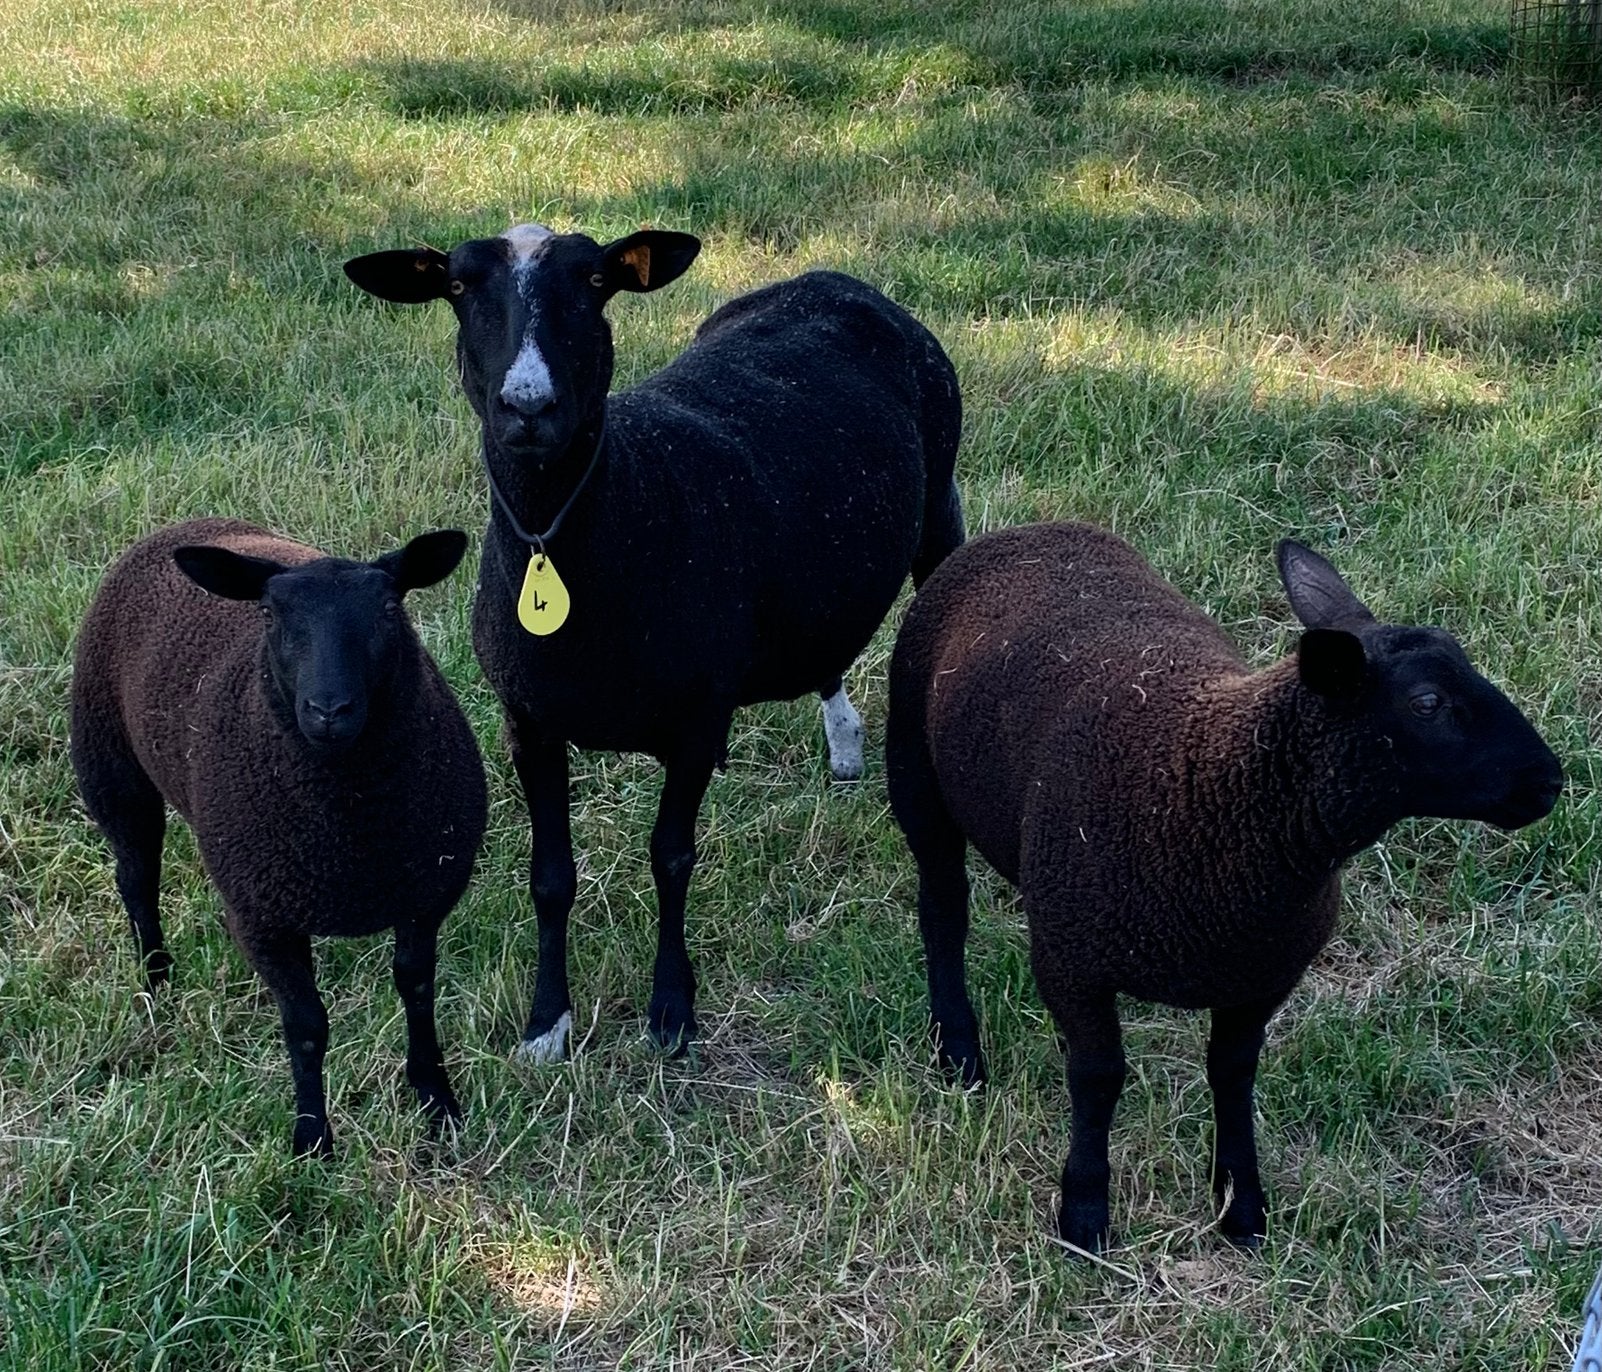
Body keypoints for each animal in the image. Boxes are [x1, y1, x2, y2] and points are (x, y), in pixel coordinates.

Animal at [70, 518, 488, 1157]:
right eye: (269, 614)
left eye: (390, 609)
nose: (328, 710)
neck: (349, 824)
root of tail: (188, 523)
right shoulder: (265, 917)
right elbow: (307, 1025)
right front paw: (312, 1138)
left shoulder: (423, 895)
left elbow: (417, 991)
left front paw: (436, 1099)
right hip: (110, 764)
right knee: (136, 878)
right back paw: (157, 979)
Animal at [344, 225, 963, 1059]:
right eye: (460, 287)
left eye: (595, 281)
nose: (528, 405)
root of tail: (834, 280)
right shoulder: (527, 723)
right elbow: (550, 877)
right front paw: (547, 1023)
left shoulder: (698, 720)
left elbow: (671, 857)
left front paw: (671, 1010)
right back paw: (845, 748)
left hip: (940, 505)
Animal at [885, 522, 1563, 1252]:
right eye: (1428, 703)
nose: (1549, 780)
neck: (1217, 787)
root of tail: (1025, 531)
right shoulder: (1072, 960)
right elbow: (1098, 1078)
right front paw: (1085, 1212)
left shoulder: (1263, 977)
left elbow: (1233, 1074)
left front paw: (1241, 1203)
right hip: (917, 779)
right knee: (944, 909)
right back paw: (957, 1046)